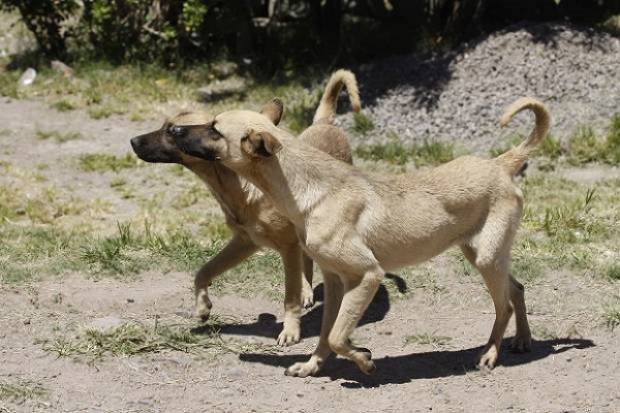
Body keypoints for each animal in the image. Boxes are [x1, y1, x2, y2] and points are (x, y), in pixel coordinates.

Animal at [132, 70, 364, 344]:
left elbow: (290, 297)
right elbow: (203, 271)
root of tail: (325, 124)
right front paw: (202, 307)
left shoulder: (287, 247)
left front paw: (290, 330)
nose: (133, 140)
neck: (241, 187)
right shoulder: (245, 242)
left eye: (171, 130)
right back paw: (308, 290)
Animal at [172, 96, 548, 376]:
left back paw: (490, 354)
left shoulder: (368, 275)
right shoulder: (335, 280)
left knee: (504, 306)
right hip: (483, 254)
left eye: (214, 128)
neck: (310, 191)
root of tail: (499, 163)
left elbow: (339, 335)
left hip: (486, 257)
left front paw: (363, 360)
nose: (174, 128)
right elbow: (327, 333)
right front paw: (313, 366)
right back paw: (522, 340)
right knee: (517, 289)